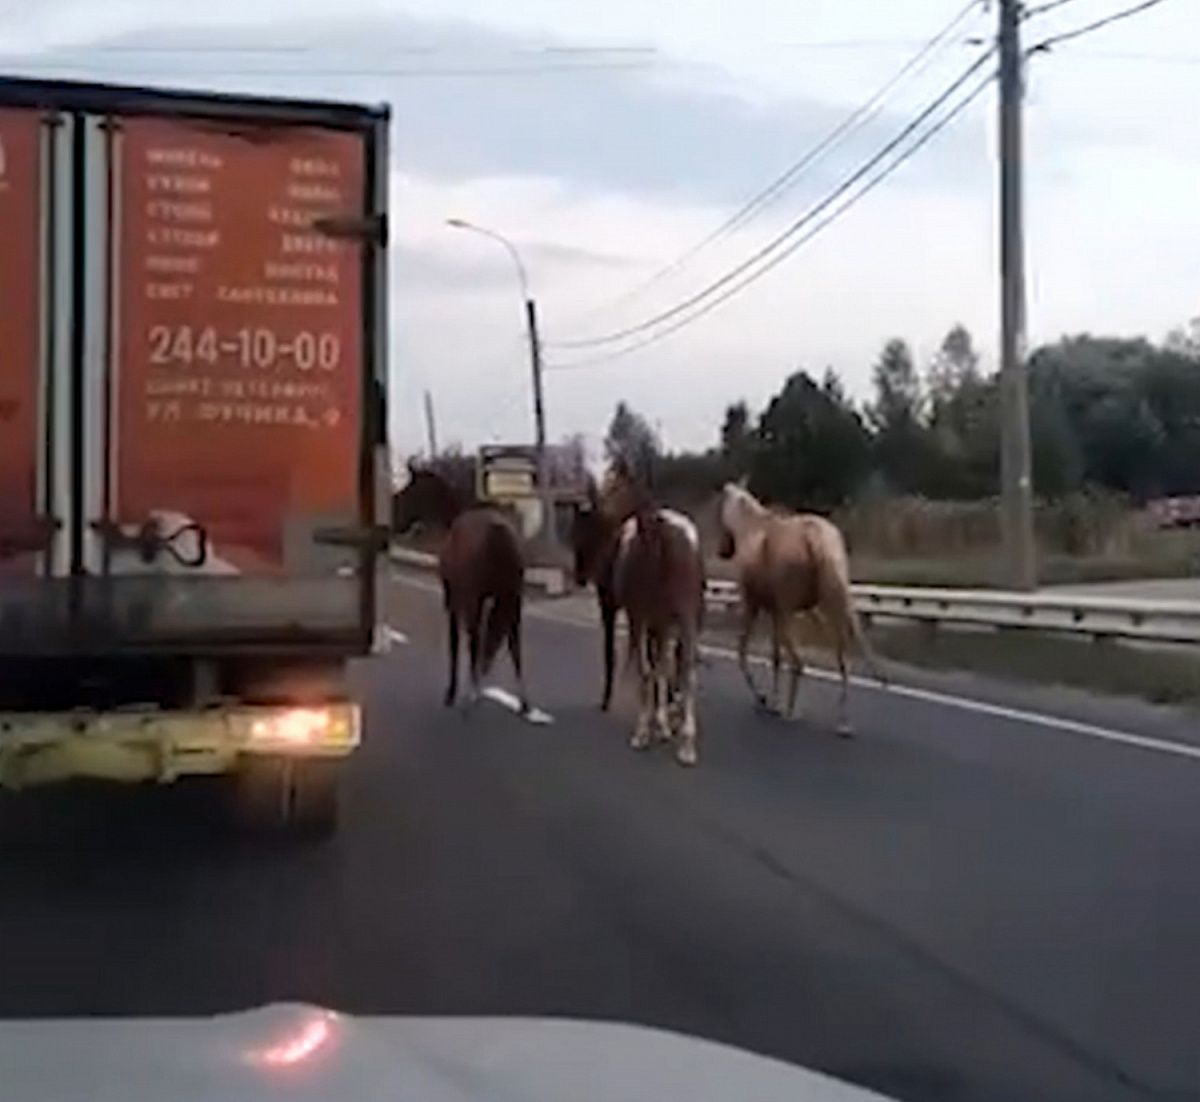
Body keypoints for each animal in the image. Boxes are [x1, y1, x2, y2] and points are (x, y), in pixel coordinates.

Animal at [393, 465, 530, 715]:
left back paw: (471, 697)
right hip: (512, 599)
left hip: (476, 600)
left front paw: (451, 692)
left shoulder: (453, 598)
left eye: (410, 488)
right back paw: (523, 701)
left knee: (476, 642)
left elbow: (455, 643)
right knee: (513, 644)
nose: (394, 514)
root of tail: (500, 536)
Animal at [585, 460, 705, 763]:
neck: (658, 552)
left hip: (668, 623)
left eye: (616, 483)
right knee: (665, 667)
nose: (594, 509)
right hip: (662, 622)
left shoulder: (670, 620)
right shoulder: (645, 620)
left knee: (671, 666)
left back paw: (672, 730)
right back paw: (666, 727)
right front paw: (649, 729)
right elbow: (651, 671)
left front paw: (675, 739)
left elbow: (670, 671)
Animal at [715, 480, 888, 734]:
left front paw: (765, 699)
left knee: (799, 662)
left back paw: (790, 712)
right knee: (844, 658)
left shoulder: (755, 605)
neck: (748, 529)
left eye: (719, 510)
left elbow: (744, 651)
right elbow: (775, 657)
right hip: (833, 601)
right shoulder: (778, 611)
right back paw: (843, 721)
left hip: (793, 611)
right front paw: (772, 699)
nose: (723, 549)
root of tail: (814, 539)